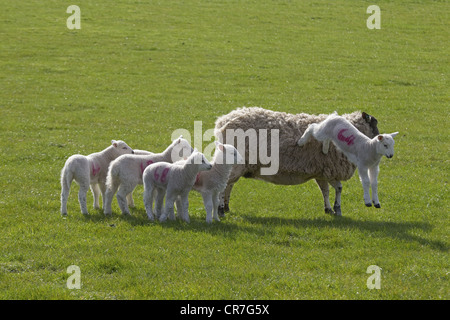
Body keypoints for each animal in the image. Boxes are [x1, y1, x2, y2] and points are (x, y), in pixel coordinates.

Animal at [214, 106, 380, 216]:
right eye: (375, 124)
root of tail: (222, 122)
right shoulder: (329, 169)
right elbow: (338, 188)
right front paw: (337, 208)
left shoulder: (322, 171)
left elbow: (325, 191)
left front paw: (329, 209)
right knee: (224, 185)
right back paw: (221, 209)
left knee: (228, 185)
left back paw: (226, 206)